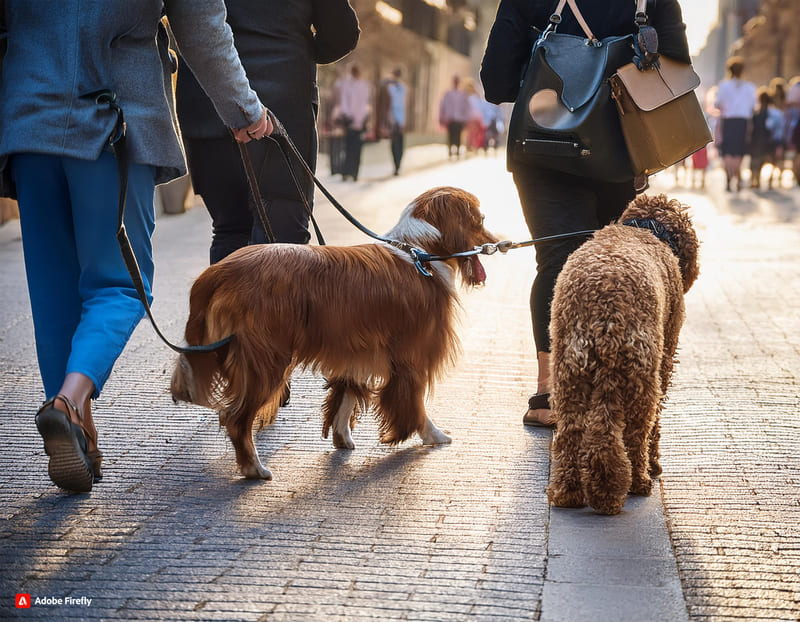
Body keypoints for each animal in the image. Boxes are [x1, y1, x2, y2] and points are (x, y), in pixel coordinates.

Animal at [170, 188, 496, 480]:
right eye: (480, 220)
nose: (495, 243)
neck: (418, 253)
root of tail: (218, 271)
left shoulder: (358, 349)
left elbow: (346, 396)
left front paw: (342, 437)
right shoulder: (412, 356)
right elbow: (414, 402)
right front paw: (431, 434)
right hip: (266, 361)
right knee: (236, 418)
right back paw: (254, 468)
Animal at [548, 195, 696, 516]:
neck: (646, 229)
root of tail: (604, 310)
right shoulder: (666, 356)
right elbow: (654, 427)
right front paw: (654, 465)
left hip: (569, 372)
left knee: (570, 435)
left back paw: (568, 492)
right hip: (640, 376)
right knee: (633, 435)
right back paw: (635, 482)